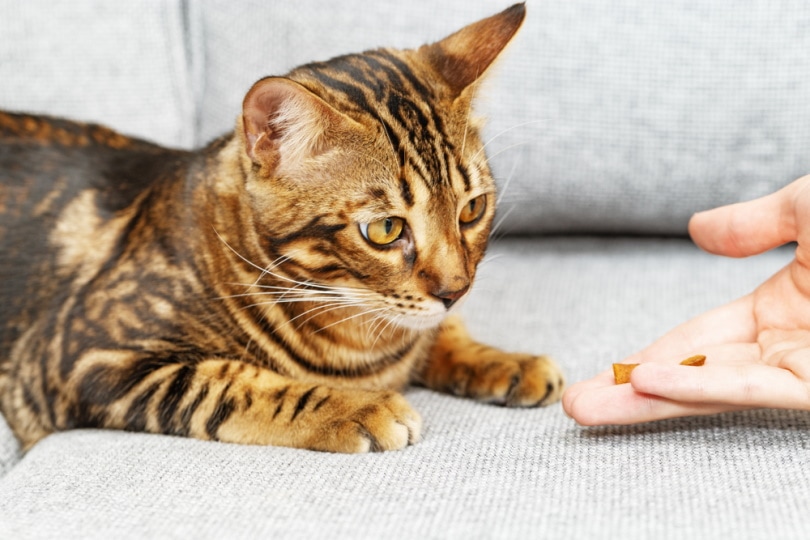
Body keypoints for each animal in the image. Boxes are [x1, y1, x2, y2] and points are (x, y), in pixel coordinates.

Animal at [0, 4, 560, 452]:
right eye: (385, 228)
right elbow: (229, 381)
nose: (454, 290)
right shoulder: (78, 357)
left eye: (472, 210)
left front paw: (503, 360)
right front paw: (355, 406)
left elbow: (437, 334)